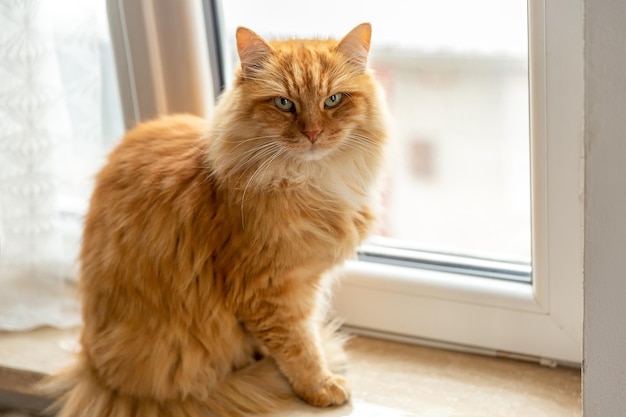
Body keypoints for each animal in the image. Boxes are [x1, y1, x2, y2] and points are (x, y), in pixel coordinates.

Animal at [48, 23, 388, 416]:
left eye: (333, 100)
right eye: (284, 103)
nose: (313, 133)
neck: (309, 181)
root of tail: (95, 371)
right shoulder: (272, 292)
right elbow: (300, 347)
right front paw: (319, 386)